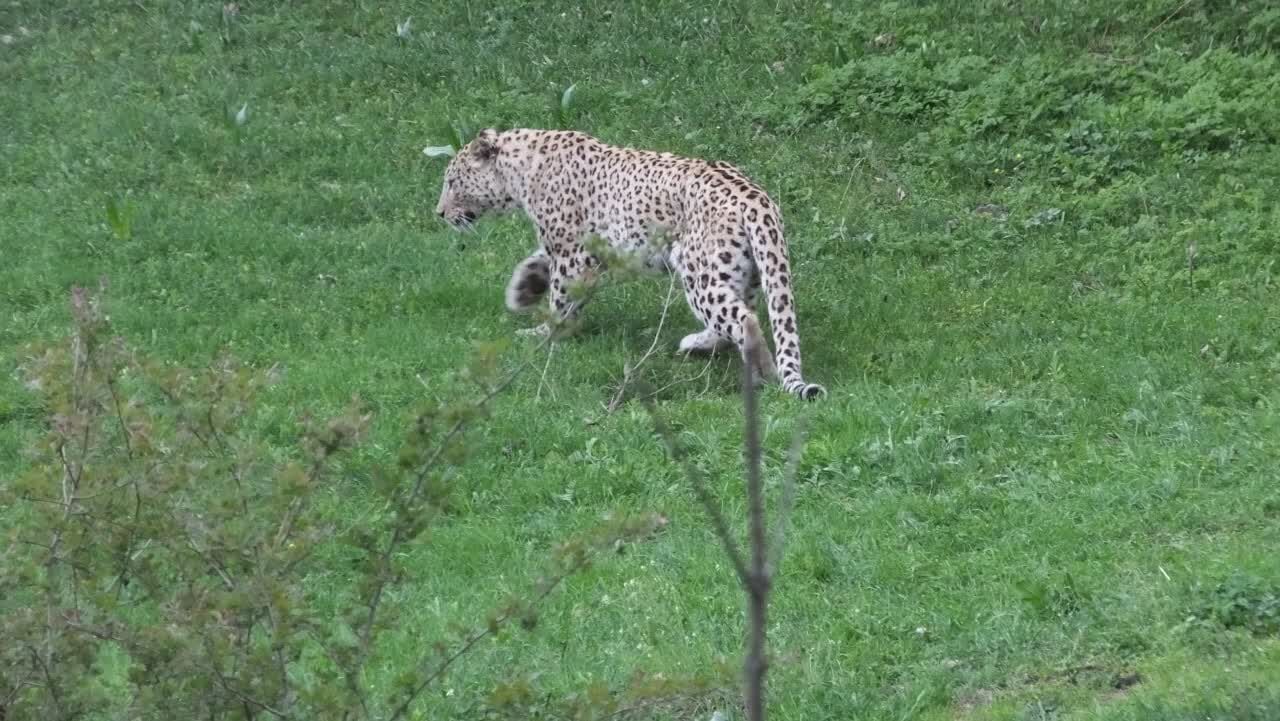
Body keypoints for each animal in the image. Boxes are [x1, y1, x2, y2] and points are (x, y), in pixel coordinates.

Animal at [435, 129, 824, 399]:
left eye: (452, 182)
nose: (439, 213)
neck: (520, 173)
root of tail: (757, 198)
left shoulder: (572, 252)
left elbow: (562, 298)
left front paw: (546, 334)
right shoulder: (572, 248)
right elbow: (539, 262)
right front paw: (523, 291)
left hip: (698, 271)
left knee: (744, 320)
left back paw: (762, 375)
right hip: (744, 271)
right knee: (736, 316)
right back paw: (698, 344)